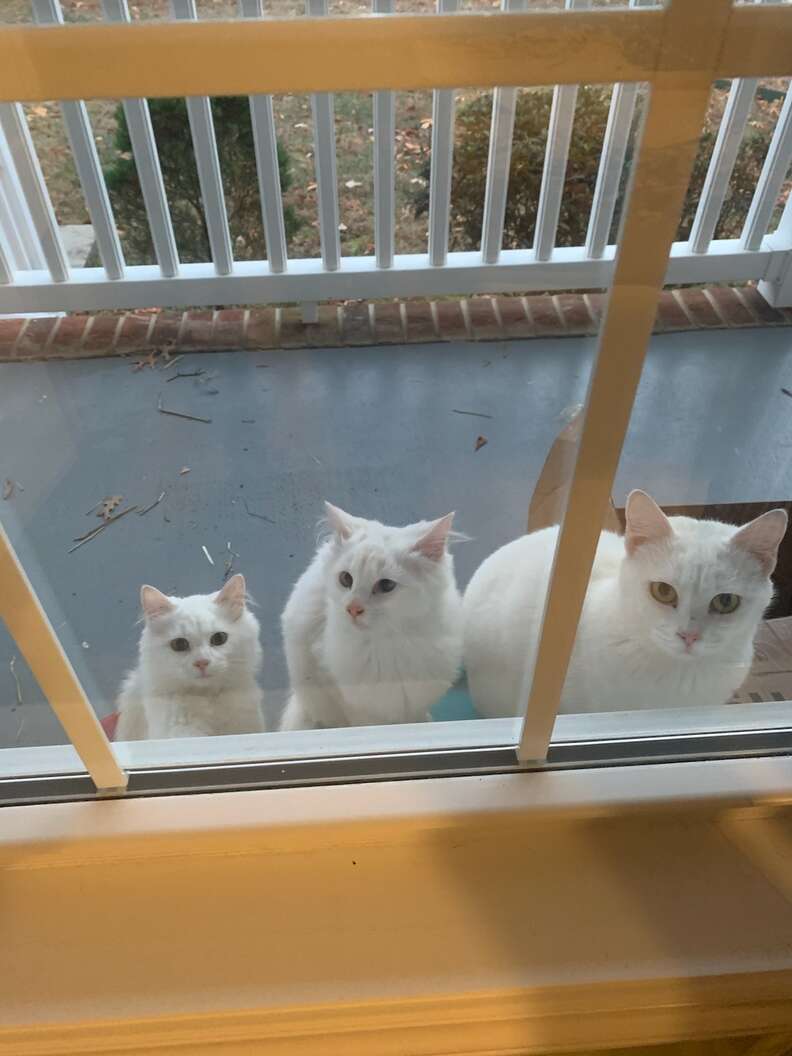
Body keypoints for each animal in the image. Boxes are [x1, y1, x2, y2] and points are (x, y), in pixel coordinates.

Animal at [280, 500, 462, 730]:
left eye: (386, 585)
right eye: (346, 579)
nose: (352, 608)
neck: (390, 645)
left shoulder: (415, 698)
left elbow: (413, 717)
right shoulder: (345, 694)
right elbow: (366, 723)